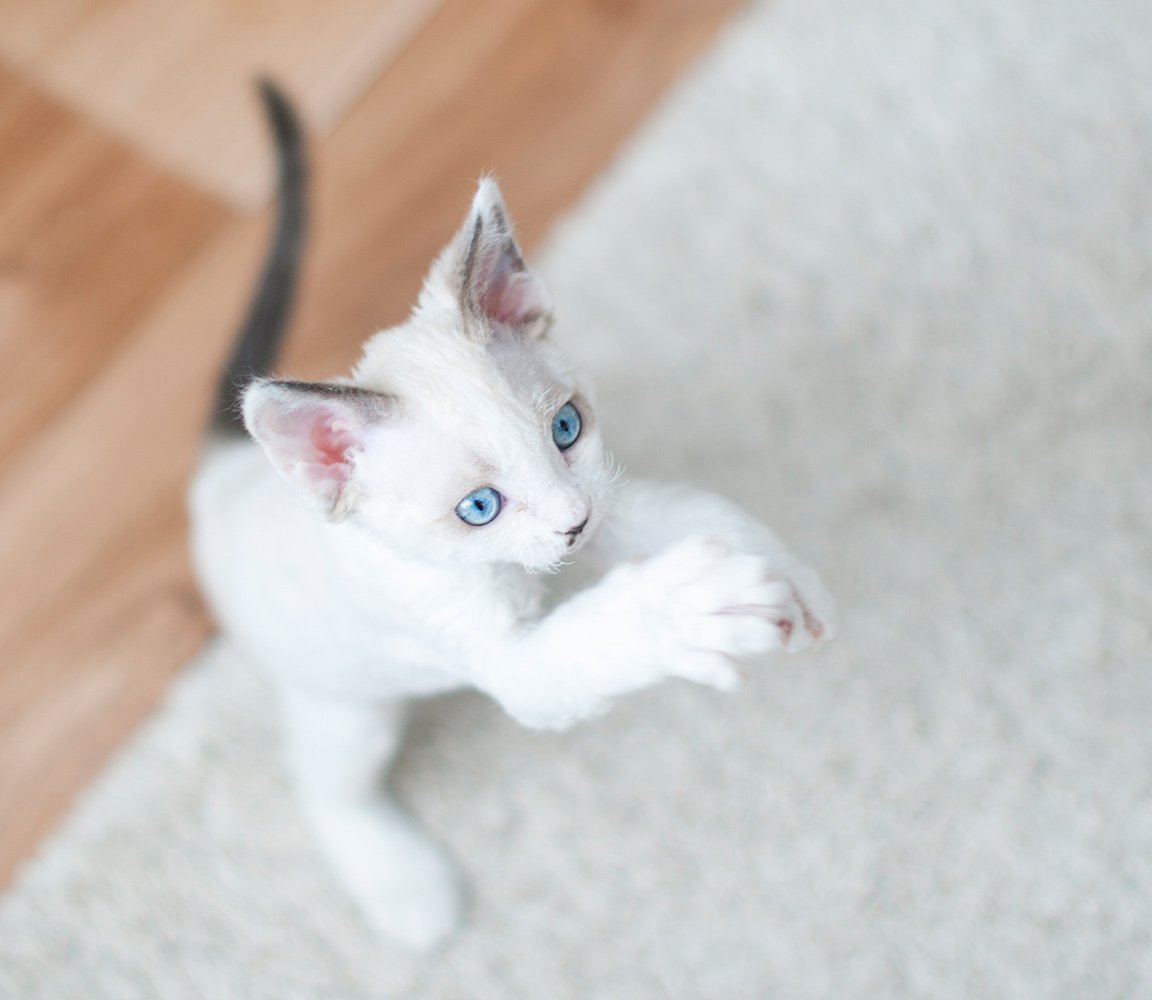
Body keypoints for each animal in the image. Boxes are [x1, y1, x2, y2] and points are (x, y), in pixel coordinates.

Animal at [190, 83, 835, 950]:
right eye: (479, 508)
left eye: (566, 428)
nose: (570, 523)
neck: (523, 575)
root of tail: (218, 478)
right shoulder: (488, 644)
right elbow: (585, 644)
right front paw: (688, 609)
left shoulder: (607, 504)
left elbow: (690, 512)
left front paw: (780, 578)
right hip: (347, 703)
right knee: (327, 783)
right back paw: (403, 885)